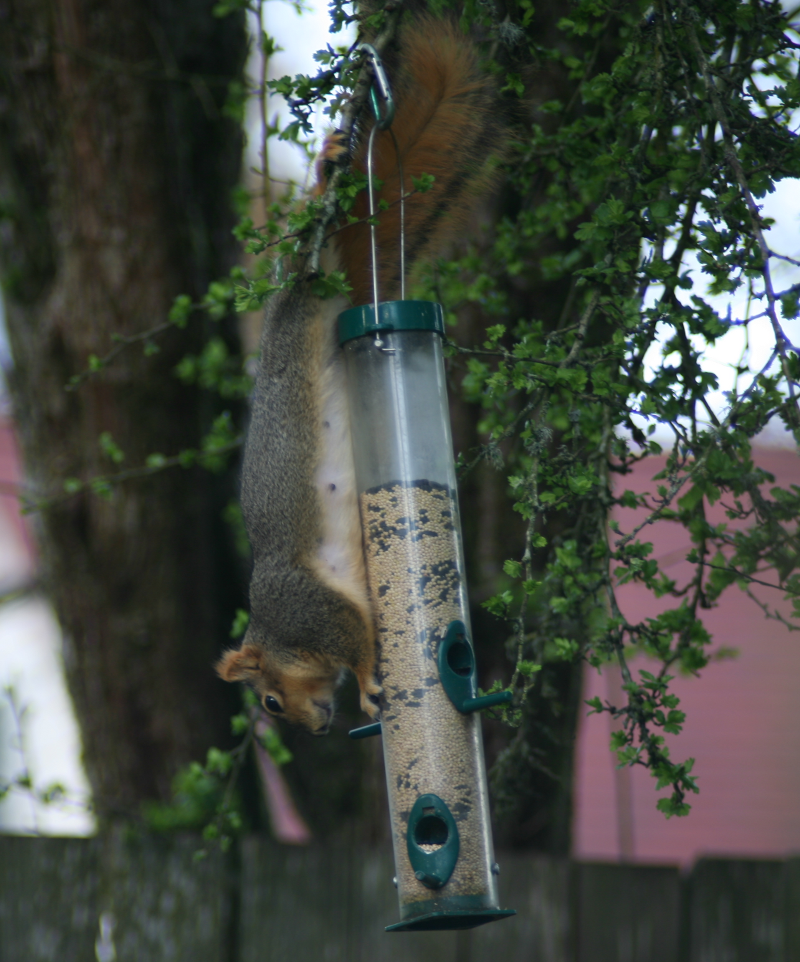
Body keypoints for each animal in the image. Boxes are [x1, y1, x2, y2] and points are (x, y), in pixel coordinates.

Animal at [215, 16, 505, 734]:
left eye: (269, 700)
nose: (317, 727)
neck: (279, 634)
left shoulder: (313, 608)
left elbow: (356, 638)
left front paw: (374, 683)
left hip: (297, 284)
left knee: (305, 243)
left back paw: (326, 170)